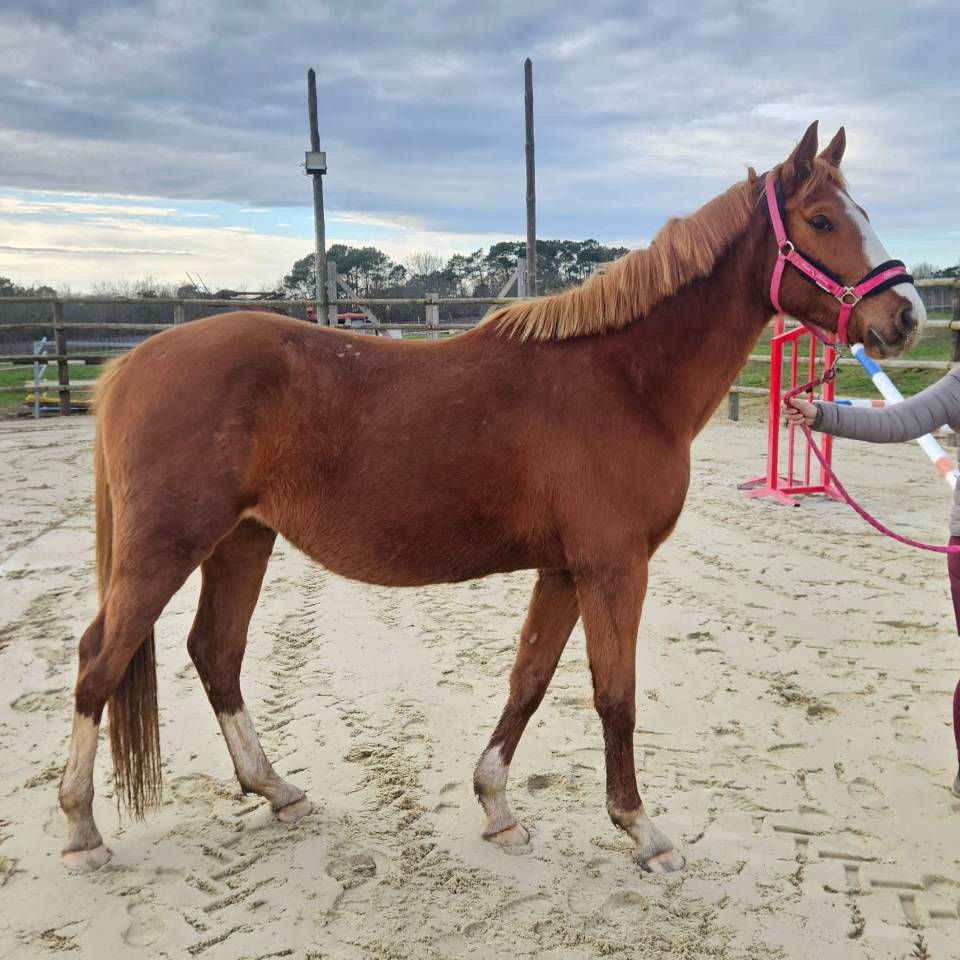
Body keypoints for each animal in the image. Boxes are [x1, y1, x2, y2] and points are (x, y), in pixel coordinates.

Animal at [58, 122, 925, 873]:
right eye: (821, 219)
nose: (907, 315)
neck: (622, 379)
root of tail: (131, 364)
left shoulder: (565, 570)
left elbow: (529, 681)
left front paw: (497, 807)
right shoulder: (613, 567)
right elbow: (615, 696)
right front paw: (643, 831)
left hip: (242, 540)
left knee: (217, 652)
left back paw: (277, 790)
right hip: (168, 546)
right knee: (100, 660)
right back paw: (82, 830)